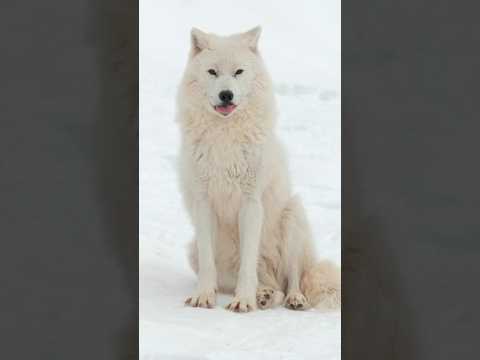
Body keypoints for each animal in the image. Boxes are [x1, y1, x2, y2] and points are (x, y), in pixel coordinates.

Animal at [177, 27, 342, 312]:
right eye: (212, 72)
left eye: (238, 72)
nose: (226, 94)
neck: (226, 135)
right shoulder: (204, 204)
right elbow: (210, 264)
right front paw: (204, 297)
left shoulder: (251, 203)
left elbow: (248, 263)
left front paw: (243, 301)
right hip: (193, 249)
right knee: (270, 285)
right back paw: (264, 295)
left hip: (293, 217)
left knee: (292, 278)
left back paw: (293, 298)